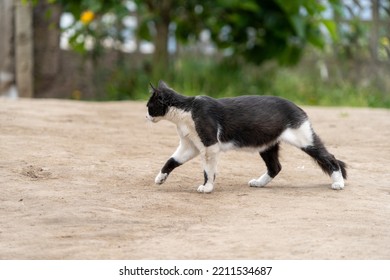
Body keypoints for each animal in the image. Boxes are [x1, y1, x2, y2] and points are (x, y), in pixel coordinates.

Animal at [146, 81, 348, 192]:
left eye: (149, 106)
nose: (145, 116)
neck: (186, 111)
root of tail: (297, 106)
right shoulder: (191, 145)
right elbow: (172, 160)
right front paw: (160, 178)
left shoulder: (210, 146)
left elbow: (208, 170)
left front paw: (207, 187)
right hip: (267, 145)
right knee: (275, 167)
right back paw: (259, 183)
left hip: (304, 139)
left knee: (330, 157)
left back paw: (338, 183)